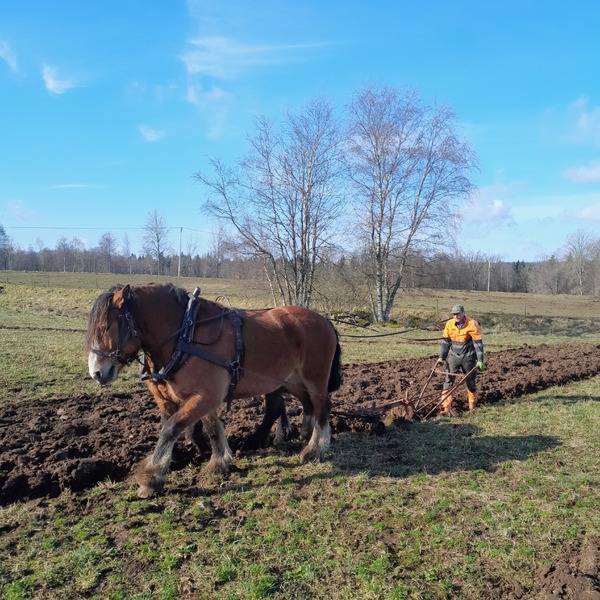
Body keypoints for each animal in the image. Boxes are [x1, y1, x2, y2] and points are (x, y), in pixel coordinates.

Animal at [84, 284, 340, 500]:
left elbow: (171, 428)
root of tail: (323, 319)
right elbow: (211, 427)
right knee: (306, 404)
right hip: (292, 379)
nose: (96, 372)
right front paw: (219, 461)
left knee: (321, 406)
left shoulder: (205, 394)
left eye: (107, 326)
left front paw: (152, 477)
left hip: (315, 378)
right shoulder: (194, 396)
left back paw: (315, 448)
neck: (185, 334)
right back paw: (304, 434)